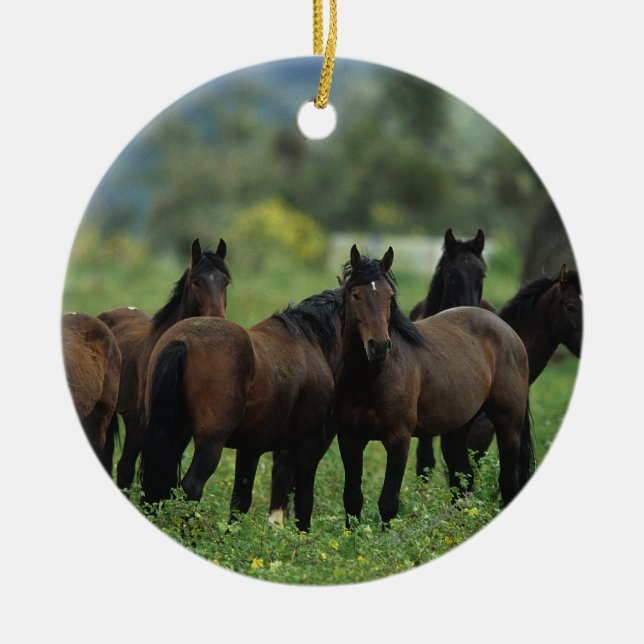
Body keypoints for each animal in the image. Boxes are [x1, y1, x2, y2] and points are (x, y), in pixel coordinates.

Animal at [140, 288, 343, 532]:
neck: (310, 341)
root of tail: (182, 341)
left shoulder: (251, 447)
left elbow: (240, 500)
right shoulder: (310, 443)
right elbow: (303, 499)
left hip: (174, 432)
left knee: (154, 482)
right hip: (210, 443)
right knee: (191, 486)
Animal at [334, 245, 534, 528]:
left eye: (390, 296)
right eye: (355, 294)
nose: (379, 346)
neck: (369, 378)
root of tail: (507, 330)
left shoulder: (398, 440)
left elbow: (388, 503)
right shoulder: (349, 438)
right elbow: (352, 500)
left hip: (508, 423)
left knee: (507, 481)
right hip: (457, 430)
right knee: (463, 481)